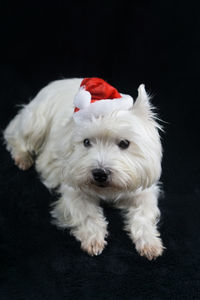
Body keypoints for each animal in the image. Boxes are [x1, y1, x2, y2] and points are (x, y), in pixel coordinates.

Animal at [3, 78, 164, 260]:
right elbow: (87, 214)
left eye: (124, 143)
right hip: (36, 122)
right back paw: (23, 157)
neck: (107, 190)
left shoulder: (143, 191)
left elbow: (144, 215)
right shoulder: (73, 190)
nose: (100, 174)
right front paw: (93, 239)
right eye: (86, 142)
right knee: (14, 133)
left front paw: (150, 242)